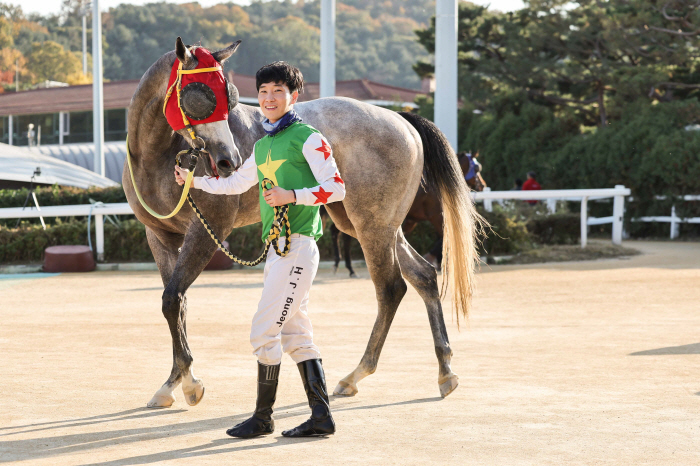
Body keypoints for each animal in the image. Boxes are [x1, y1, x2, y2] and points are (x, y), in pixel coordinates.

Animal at [123, 37, 478, 408]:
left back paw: (356, 374)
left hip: (372, 225)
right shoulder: (160, 237)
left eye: (230, 96)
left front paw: (189, 384)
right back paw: (444, 371)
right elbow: (176, 305)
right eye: (201, 95)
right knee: (424, 275)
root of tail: (401, 119)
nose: (228, 160)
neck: (156, 158)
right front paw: (173, 382)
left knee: (391, 288)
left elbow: (172, 298)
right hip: (374, 224)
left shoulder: (208, 231)